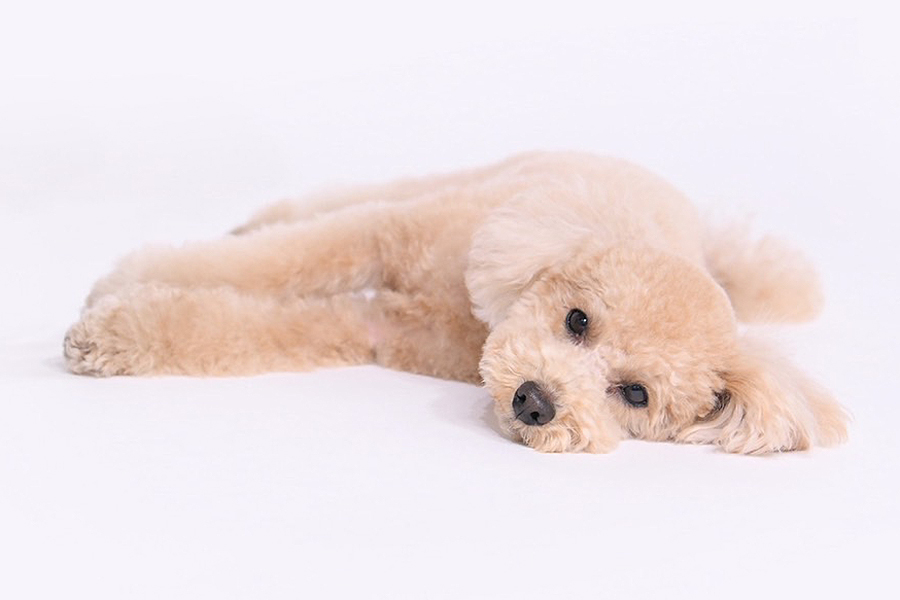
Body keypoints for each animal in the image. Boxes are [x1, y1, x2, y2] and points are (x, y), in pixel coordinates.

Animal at [64, 151, 849, 454]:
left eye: (633, 394)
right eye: (577, 321)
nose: (536, 402)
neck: (478, 316)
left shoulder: (373, 326)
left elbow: (241, 325)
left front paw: (114, 331)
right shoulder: (382, 236)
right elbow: (279, 257)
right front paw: (124, 280)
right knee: (328, 205)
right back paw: (260, 217)